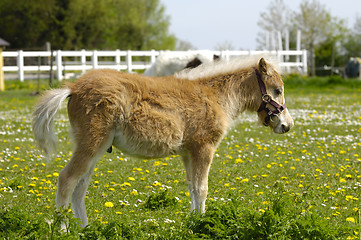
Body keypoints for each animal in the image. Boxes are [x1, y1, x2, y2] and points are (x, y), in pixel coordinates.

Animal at [32, 56, 292, 227]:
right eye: (277, 90)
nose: (286, 125)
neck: (214, 96)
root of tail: (73, 87)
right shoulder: (204, 148)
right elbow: (202, 188)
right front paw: (201, 223)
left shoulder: (188, 152)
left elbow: (192, 187)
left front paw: (192, 222)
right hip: (91, 145)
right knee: (67, 179)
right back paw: (64, 230)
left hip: (95, 149)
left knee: (80, 188)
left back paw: (85, 229)